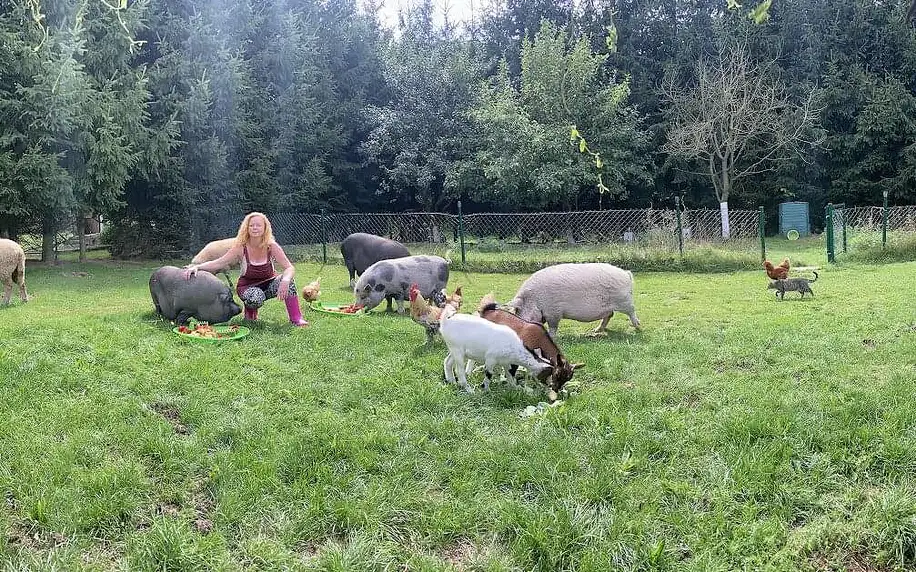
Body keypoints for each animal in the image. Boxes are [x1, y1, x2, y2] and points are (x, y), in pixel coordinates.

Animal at [512, 262, 640, 338]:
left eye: (518, 311)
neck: (535, 299)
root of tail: (626, 274)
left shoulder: (554, 312)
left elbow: (553, 327)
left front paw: (551, 336)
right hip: (610, 306)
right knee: (609, 315)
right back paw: (596, 330)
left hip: (624, 300)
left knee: (631, 311)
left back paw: (638, 326)